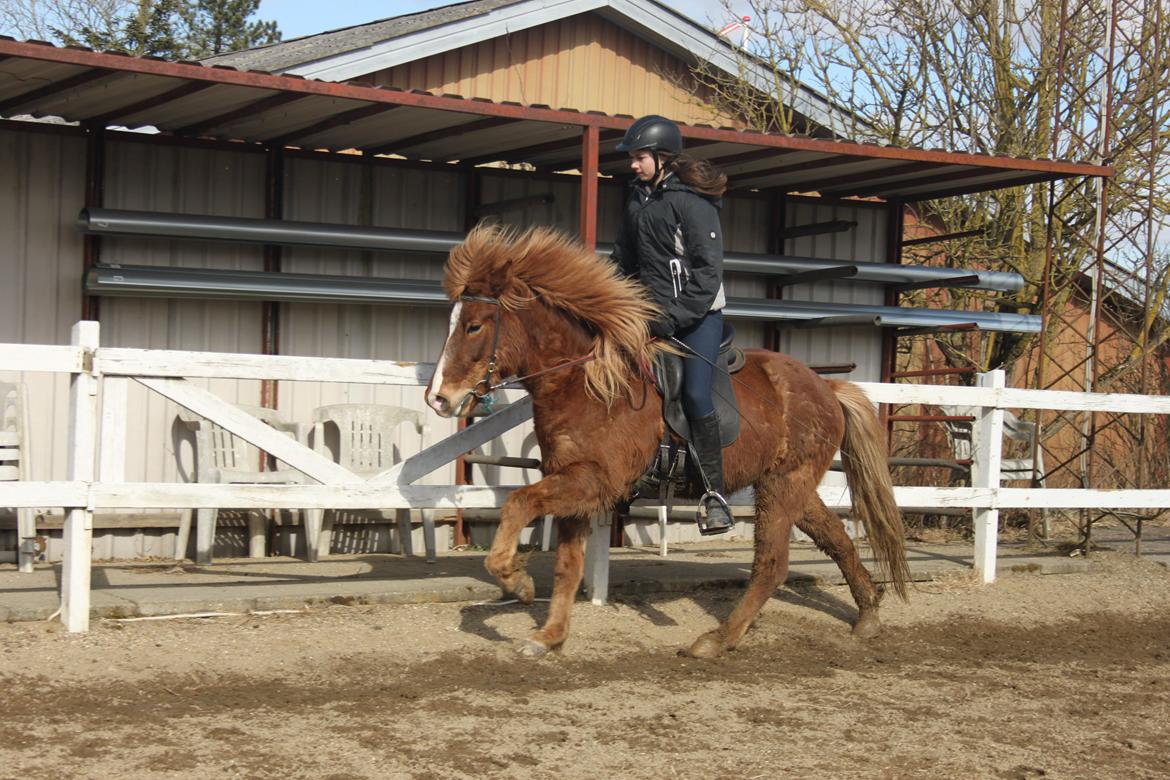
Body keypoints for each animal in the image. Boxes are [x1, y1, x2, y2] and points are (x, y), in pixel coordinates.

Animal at [425, 225, 907, 659]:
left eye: (473, 327)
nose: (439, 399)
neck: (588, 384)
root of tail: (827, 387)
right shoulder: (572, 482)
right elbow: (567, 566)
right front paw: (550, 637)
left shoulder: (595, 482)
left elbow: (518, 503)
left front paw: (517, 581)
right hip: (791, 486)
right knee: (836, 540)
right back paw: (867, 615)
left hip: (783, 486)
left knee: (771, 565)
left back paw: (717, 640)